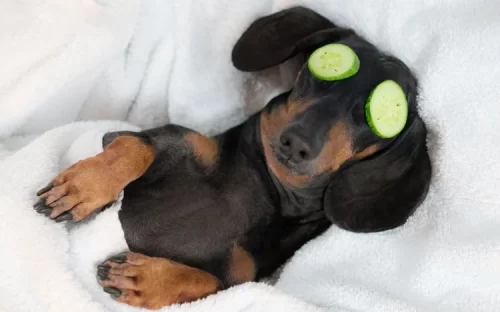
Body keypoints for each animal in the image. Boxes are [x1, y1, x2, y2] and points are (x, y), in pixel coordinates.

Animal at [32, 6, 430, 310]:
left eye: (377, 116)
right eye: (322, 70)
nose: (296, 142)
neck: (269, 189)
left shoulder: (241, 281)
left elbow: (205, 281)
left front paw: (145, 279)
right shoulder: (155, 138)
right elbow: (136, 148)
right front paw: (82, 188)